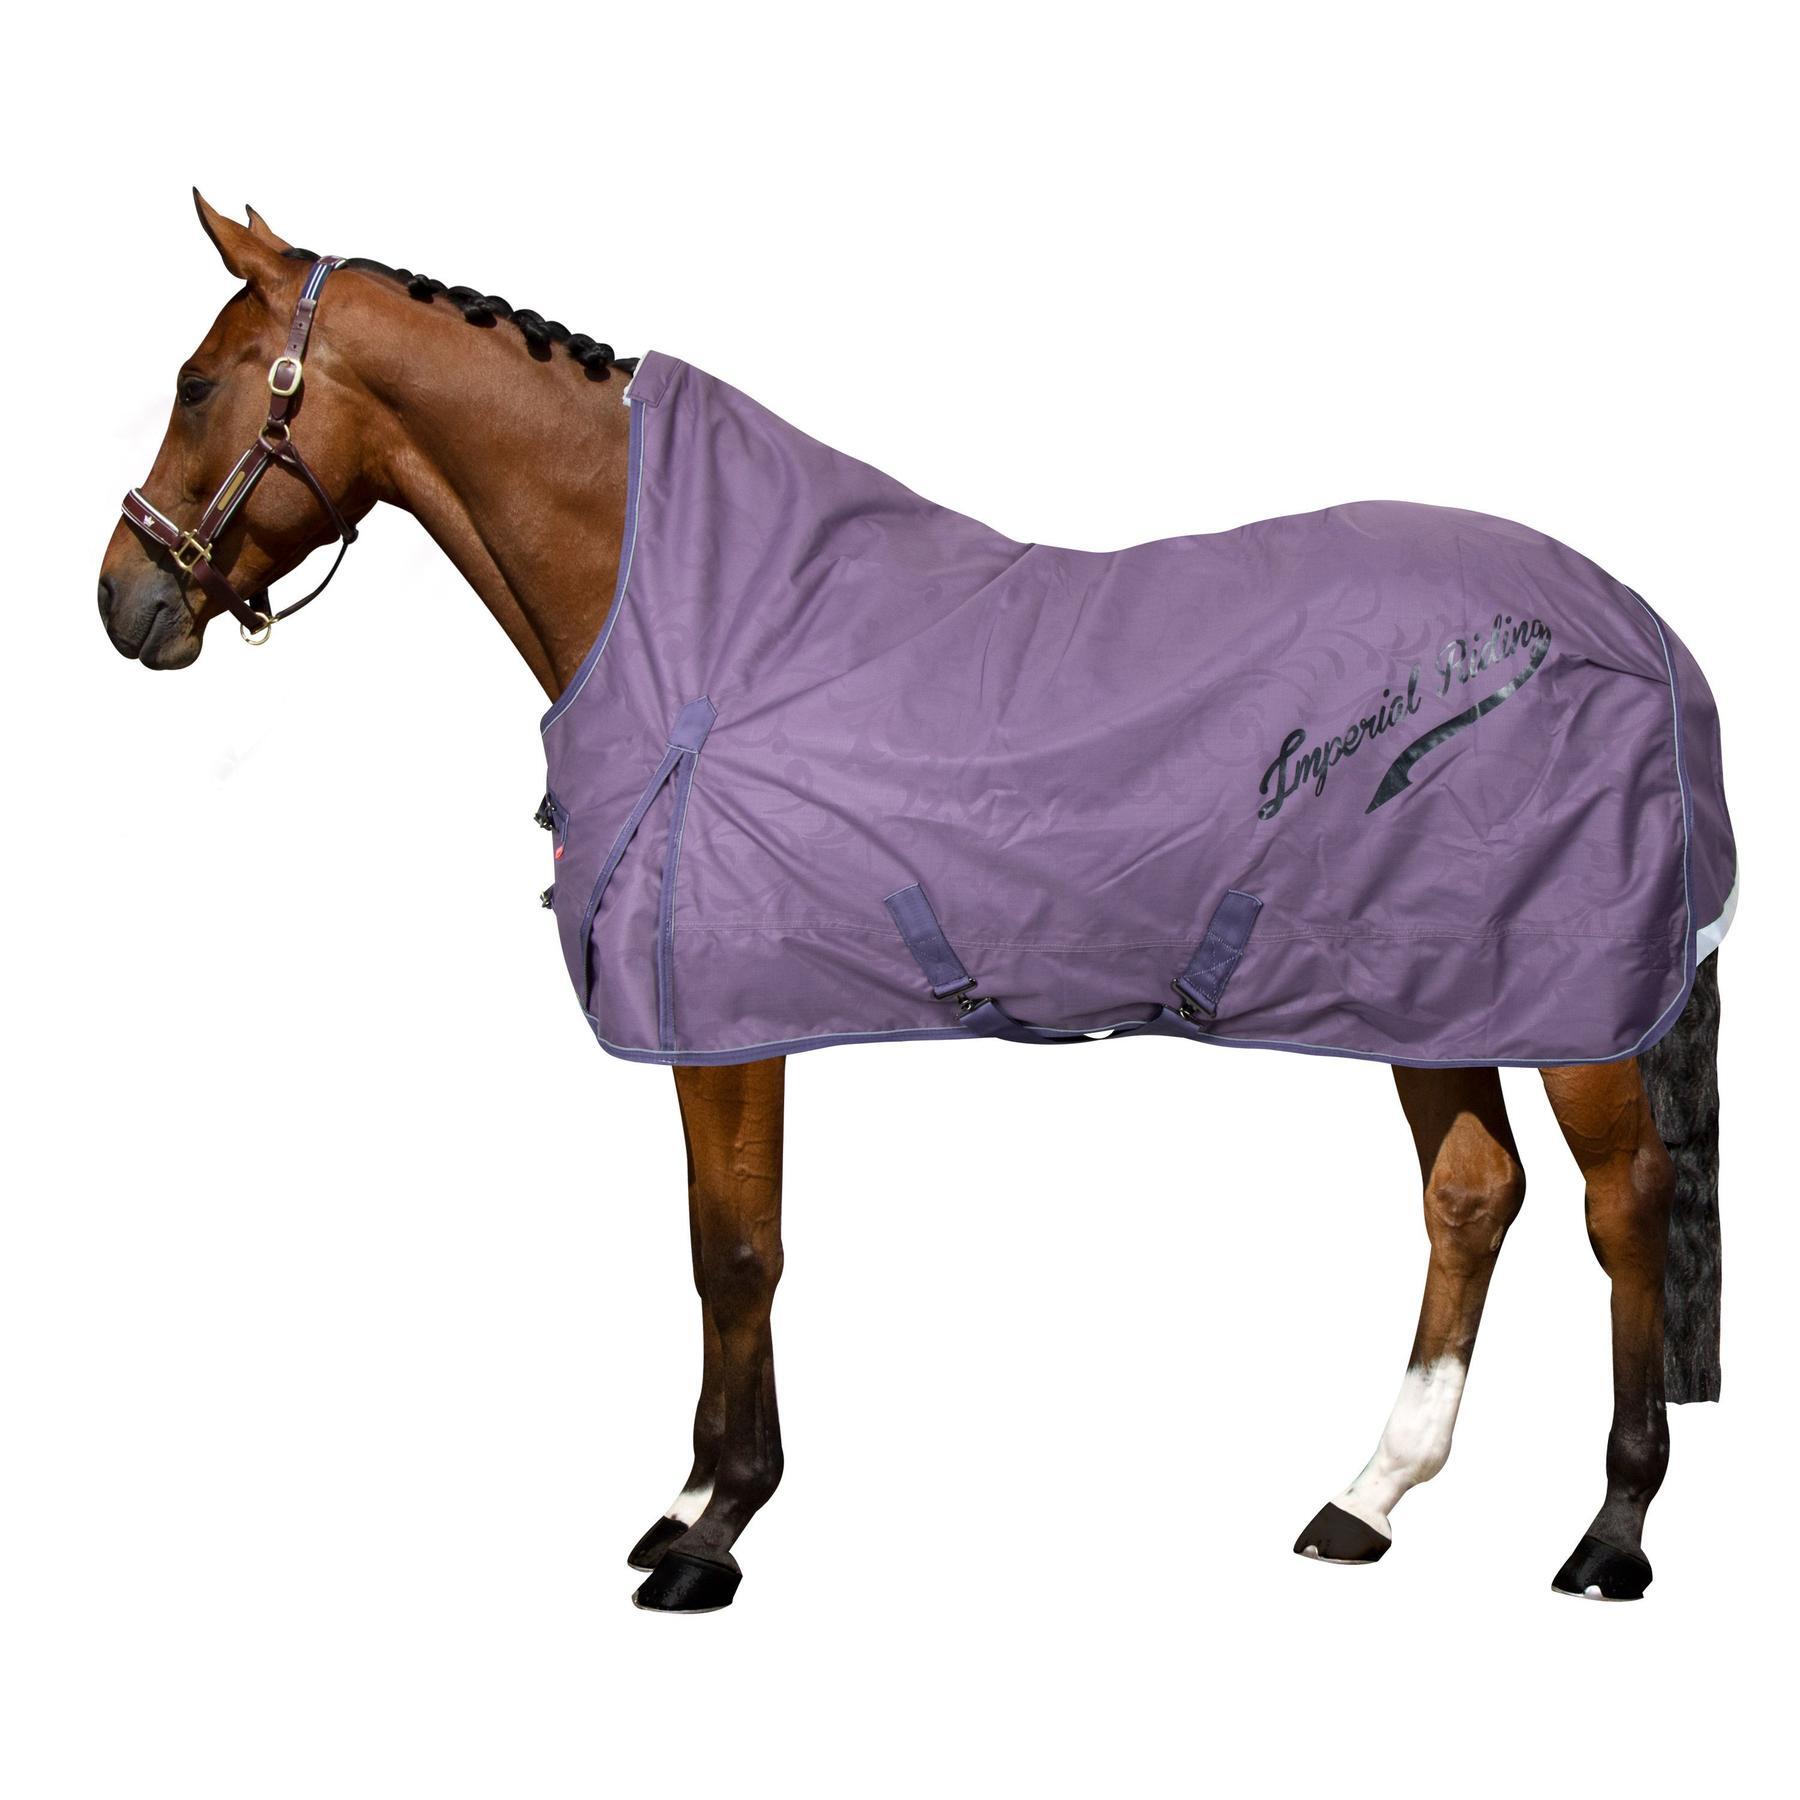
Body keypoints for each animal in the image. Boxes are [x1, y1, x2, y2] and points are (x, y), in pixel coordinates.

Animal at [96, 194, 1732, 1612]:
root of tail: (1640, 630)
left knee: (1624, 1204)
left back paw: (1613, 1530)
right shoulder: (713, 1019)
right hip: (1428, 984)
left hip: (1567, 1001)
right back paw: (1365, 1500)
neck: (704, 634)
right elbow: (720, 1241)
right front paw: (687, 1506)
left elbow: (738, 1252)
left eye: (196, 384)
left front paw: (716, 1532)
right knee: (1473, 1196)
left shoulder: (726, 1016)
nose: (125, 600)